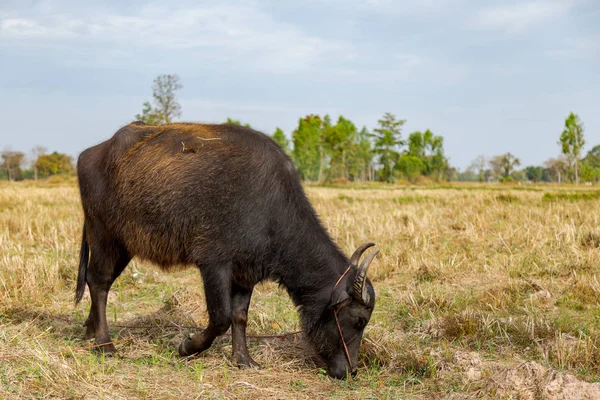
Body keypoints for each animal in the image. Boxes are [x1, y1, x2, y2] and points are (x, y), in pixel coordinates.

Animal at [74, 121, 376, 378]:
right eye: (359, 320)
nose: (351, 371)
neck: (270, 207)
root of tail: (90, 155)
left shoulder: (246, 272)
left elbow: (239, 316)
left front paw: (243, 359)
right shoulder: (214, 264)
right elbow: (220, 318)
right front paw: (188, 346)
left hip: (123, 245)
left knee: (101, 283)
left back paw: (90, 330)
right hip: (103, 234)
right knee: (98, 282)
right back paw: (105, 344)